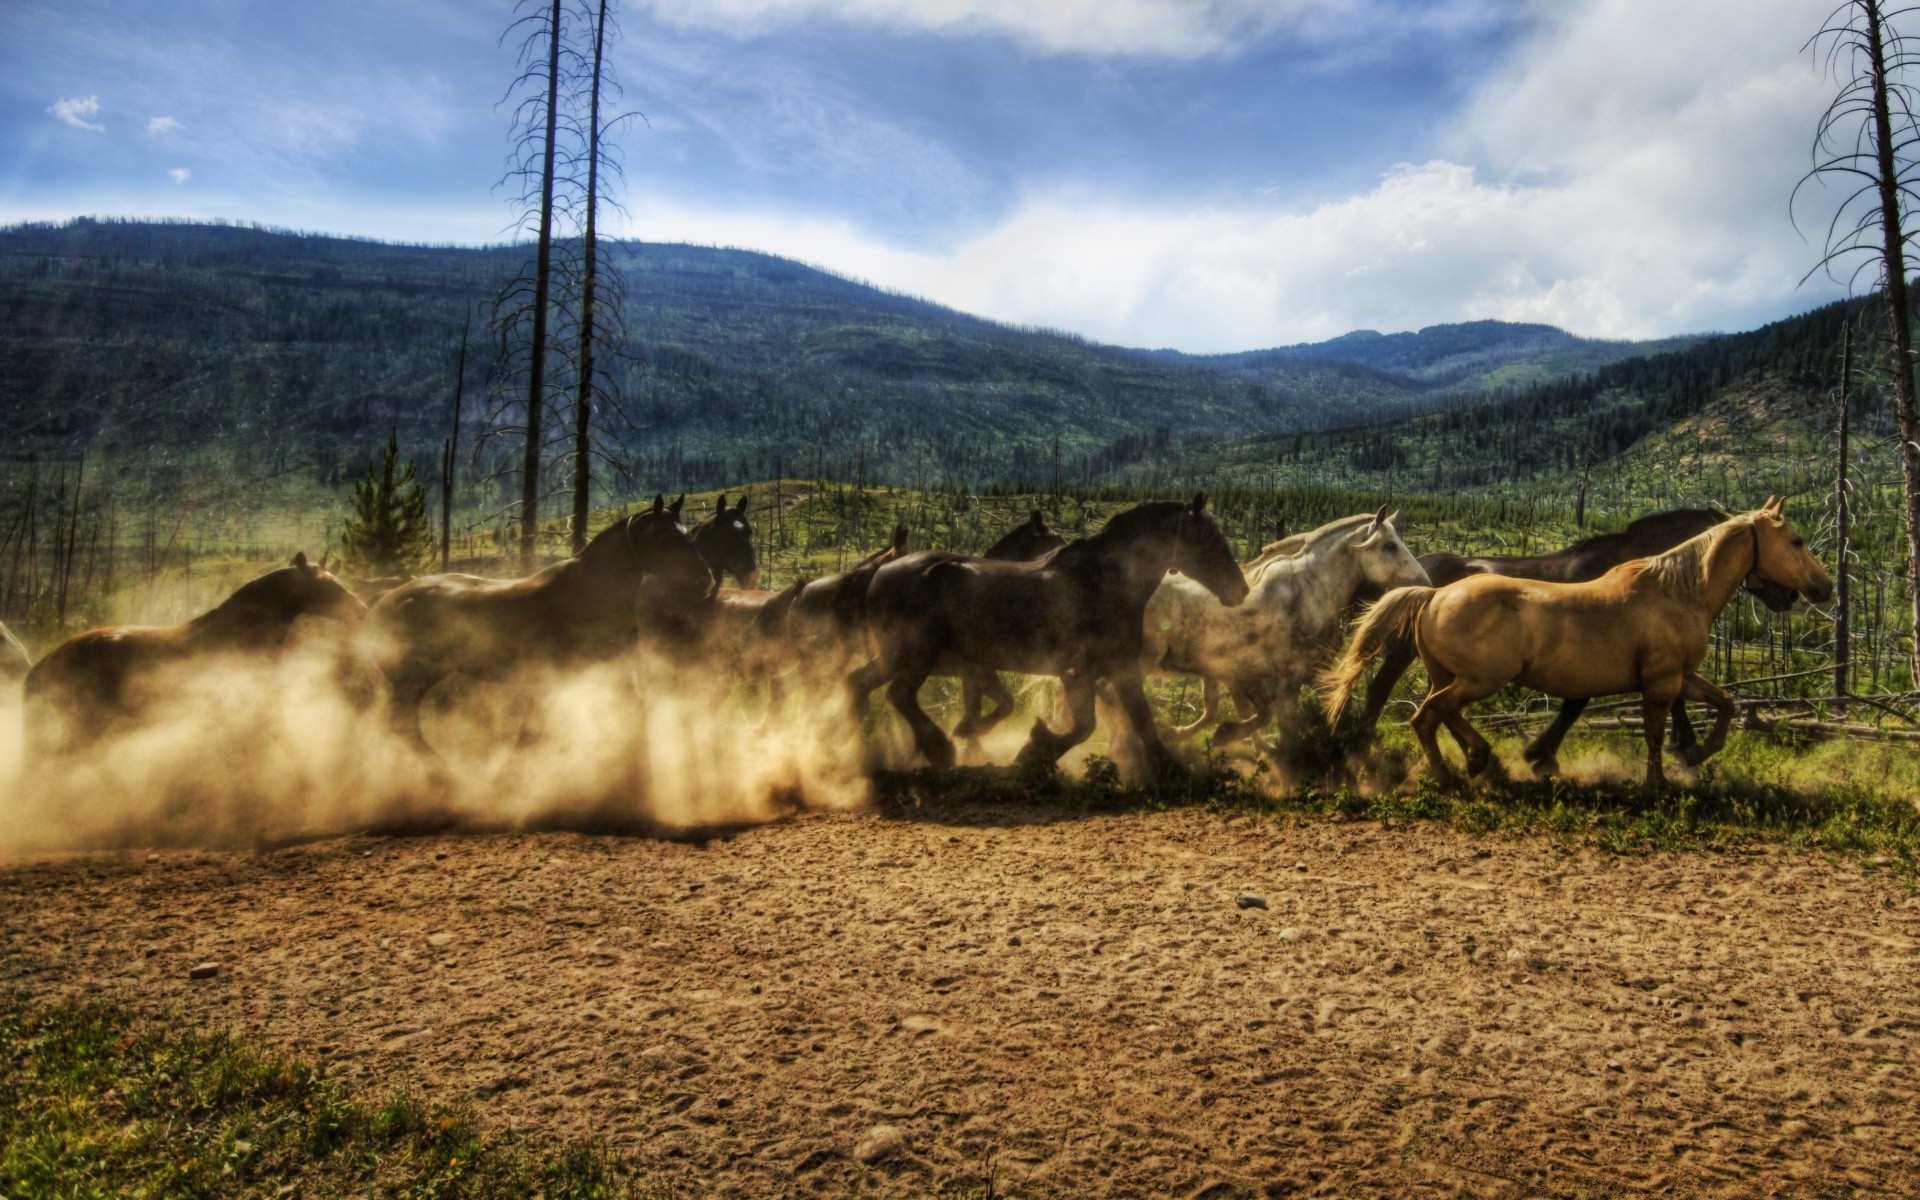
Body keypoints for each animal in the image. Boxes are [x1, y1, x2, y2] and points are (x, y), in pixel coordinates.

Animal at [362, 499, 718, 768]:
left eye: (687, 534)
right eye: (664, 539)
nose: (704, 581)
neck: (590, 592)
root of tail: (387, 599)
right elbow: (531, 735)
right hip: (411, 680)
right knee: (402, 726)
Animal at [852, 495, 1244, 775]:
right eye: (1211, 542)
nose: (1239, 590)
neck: (1103, 583)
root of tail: (881, 573)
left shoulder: (1120, 668)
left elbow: (1142, 722)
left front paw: (1170, 769)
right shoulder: (1077, 673)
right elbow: (1084, 726)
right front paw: (1033, 751)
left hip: (896, 656)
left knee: (861, 683)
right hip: (916, 655)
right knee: (899, 695)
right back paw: (938, 749)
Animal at [1136, 503, 1428, 748]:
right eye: (1390, 546)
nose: (1425, 582)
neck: (1308, 590)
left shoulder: (1307, 673)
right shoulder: (1282, 678)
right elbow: (1280, 724)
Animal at [1320, 499, 1827, 791]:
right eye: (1797, 541)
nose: (1822, 588)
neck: (1674, 588)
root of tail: (1429, 592)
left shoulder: (1674, 673)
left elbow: (1722, 702)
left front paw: (1696, 752)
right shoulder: (1657, 675)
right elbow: (1647, 723)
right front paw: (1668, 771)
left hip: (1450, 674)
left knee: (1435, 710)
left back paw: (1475, 762)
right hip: (1472, 676)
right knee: (1412, 706)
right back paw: (1426, 764)